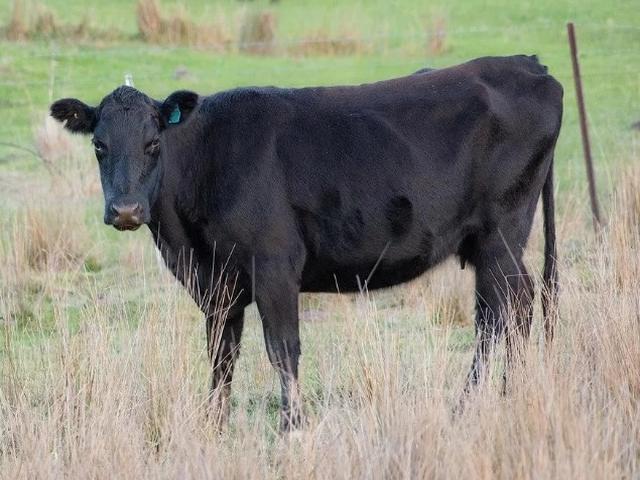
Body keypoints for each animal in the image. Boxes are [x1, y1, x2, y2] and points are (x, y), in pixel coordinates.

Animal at [50, 55, 562, 431]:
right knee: (520, 304)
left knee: (498, 316)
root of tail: (529, 65)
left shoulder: (275, 265)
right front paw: (214, 425)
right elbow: (221, 354)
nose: (126, 210)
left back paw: (472, 405)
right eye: (98, 145)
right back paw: (512, 394)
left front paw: (291, 427)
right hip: (499, 244)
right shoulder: (216, 283)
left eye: (153, 143)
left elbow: (282, 348)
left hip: (499, 236)